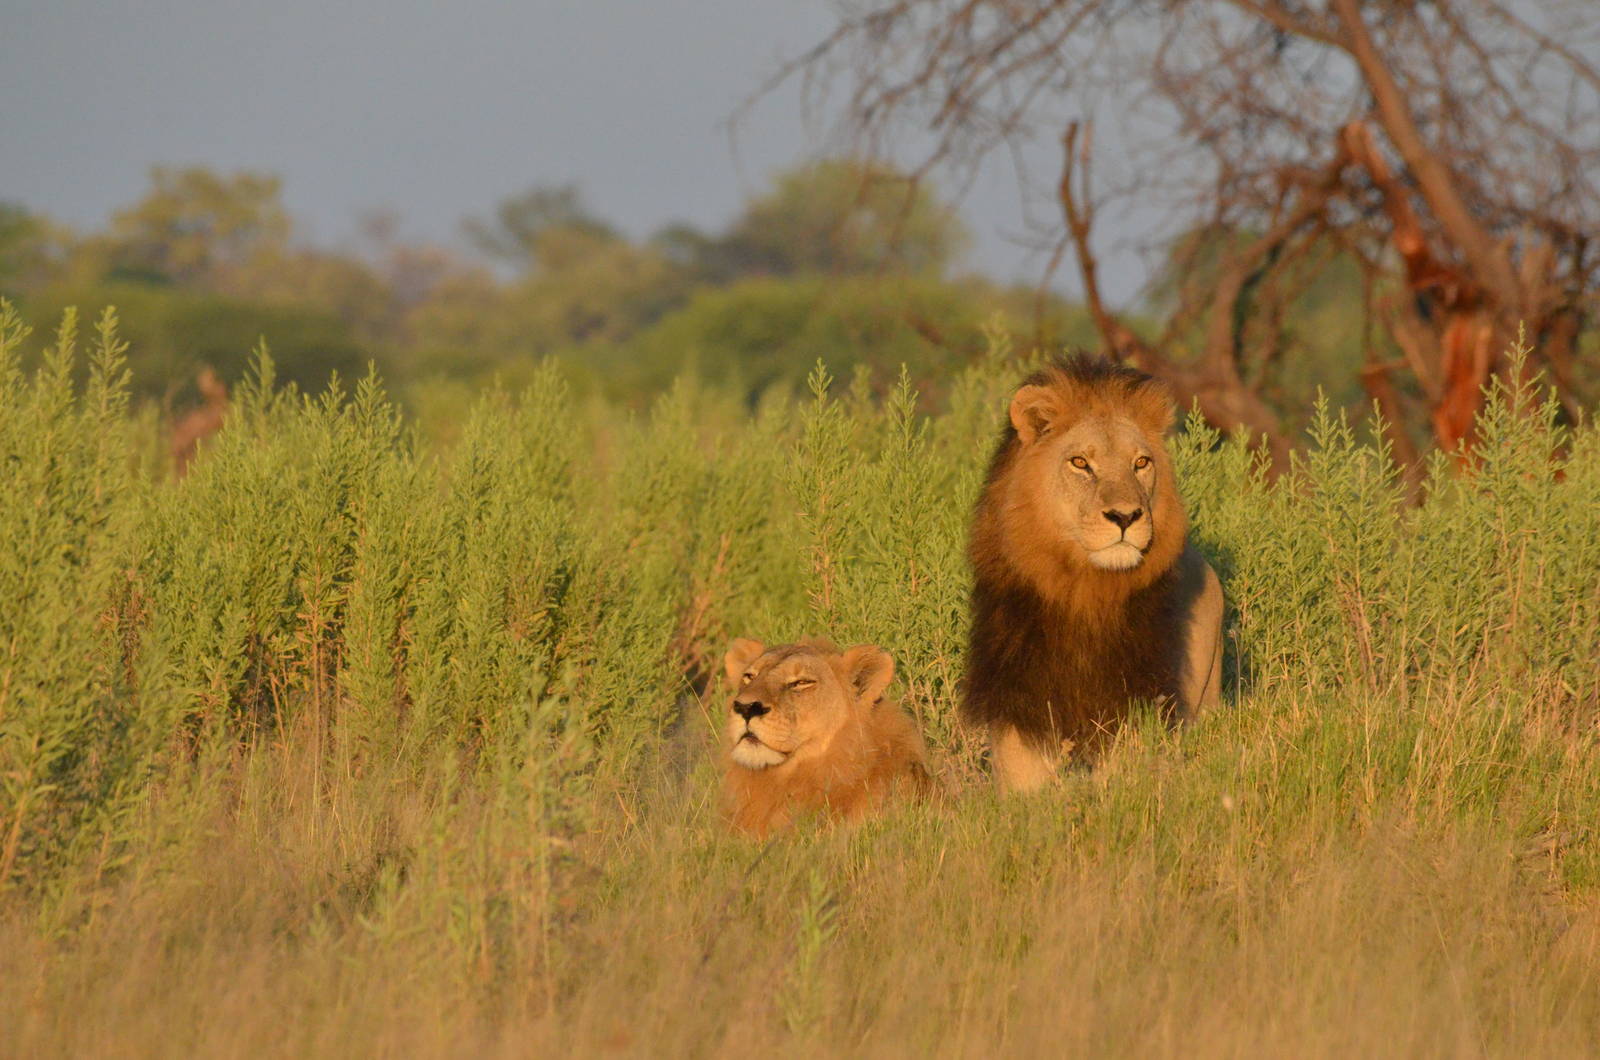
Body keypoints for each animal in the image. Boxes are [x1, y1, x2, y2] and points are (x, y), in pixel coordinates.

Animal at [962, 355, 1224, 793]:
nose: (1125, 516)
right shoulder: (1021, 709)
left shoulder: (1131, 705)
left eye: (1141, 463)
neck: (1084, 589)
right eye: (1080, 463)